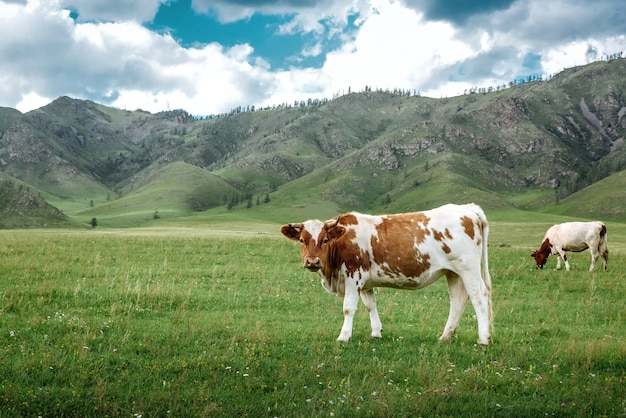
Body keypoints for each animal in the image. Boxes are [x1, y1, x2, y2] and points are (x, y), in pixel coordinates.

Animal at [280, 203, 492, 346]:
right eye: (301, 240)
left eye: (324, 240)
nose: (312, 262)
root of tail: (467, 208)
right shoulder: (365, 281)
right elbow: (370, 305)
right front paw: (376, 332)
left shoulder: (353, 274)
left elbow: (348, 308)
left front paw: (344, 336)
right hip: (453, 272)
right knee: (458, 300)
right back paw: (445, 337)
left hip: (469, 269)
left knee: (479, 297)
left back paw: (483, 339)